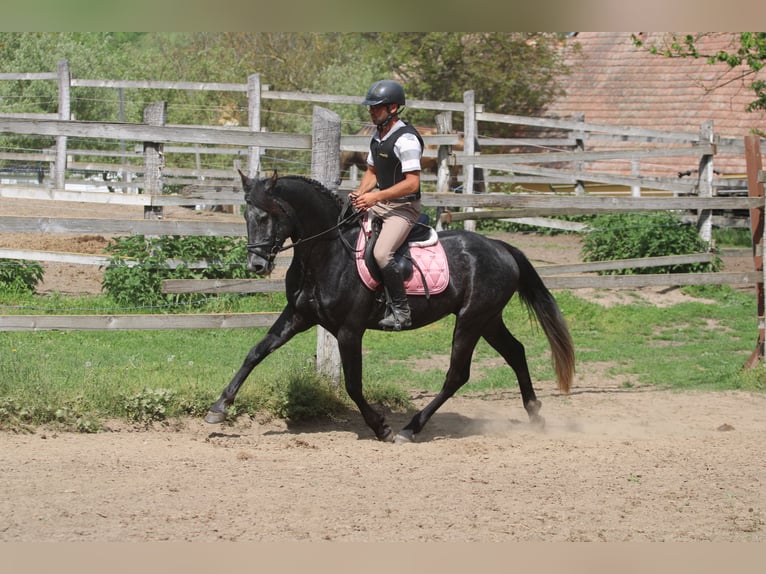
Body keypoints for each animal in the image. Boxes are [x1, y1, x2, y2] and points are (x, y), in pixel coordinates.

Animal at [204, 171, 575, 443]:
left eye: (267, 216)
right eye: (246, 215)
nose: (256, 265)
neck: (326, 253)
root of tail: (500, 247)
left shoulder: (349, 330)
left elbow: (353, 384)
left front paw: (380, 426)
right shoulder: (298, 315)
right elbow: (255, 352)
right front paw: (219, 407)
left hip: (471, 320)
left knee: (457, 375)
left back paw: (411, 428)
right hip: (488, 319)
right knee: (516, 352)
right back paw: (535, 414)